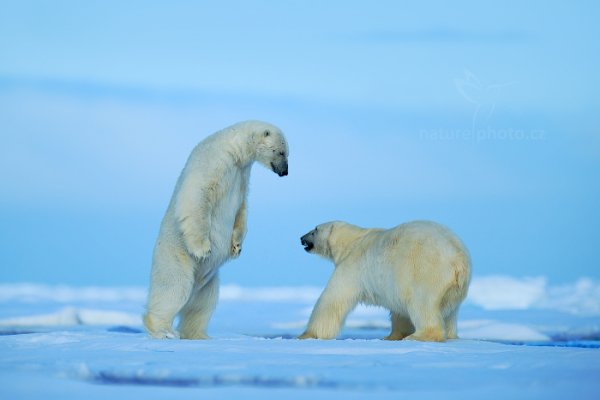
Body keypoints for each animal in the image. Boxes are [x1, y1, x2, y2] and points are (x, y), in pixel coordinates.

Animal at [143, 120, 288, 340]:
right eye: (281, 152)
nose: (285, 172)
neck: (235, 149)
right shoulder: (214, 161)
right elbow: (197, 196)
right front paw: (203, 249)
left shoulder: (242, 175)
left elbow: (241, 209)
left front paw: (236, 247)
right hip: (176, 257)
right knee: (174, 288)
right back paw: (163, 330)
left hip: (208, 282)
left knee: (202, 305)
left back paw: (199, 334)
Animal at [298, 220, 472, 342]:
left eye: (315, 229)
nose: (301, 238)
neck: (351, 242)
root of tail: (458, 259)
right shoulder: (397, 282)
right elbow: (399, 312)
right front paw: (391, 336)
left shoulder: (352, 266)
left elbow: (332, 299)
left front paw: (306, 335)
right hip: (454, 289)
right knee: (449, 312)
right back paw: (449, 334)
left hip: (426, 272)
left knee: (421, 304)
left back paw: (419, 336)